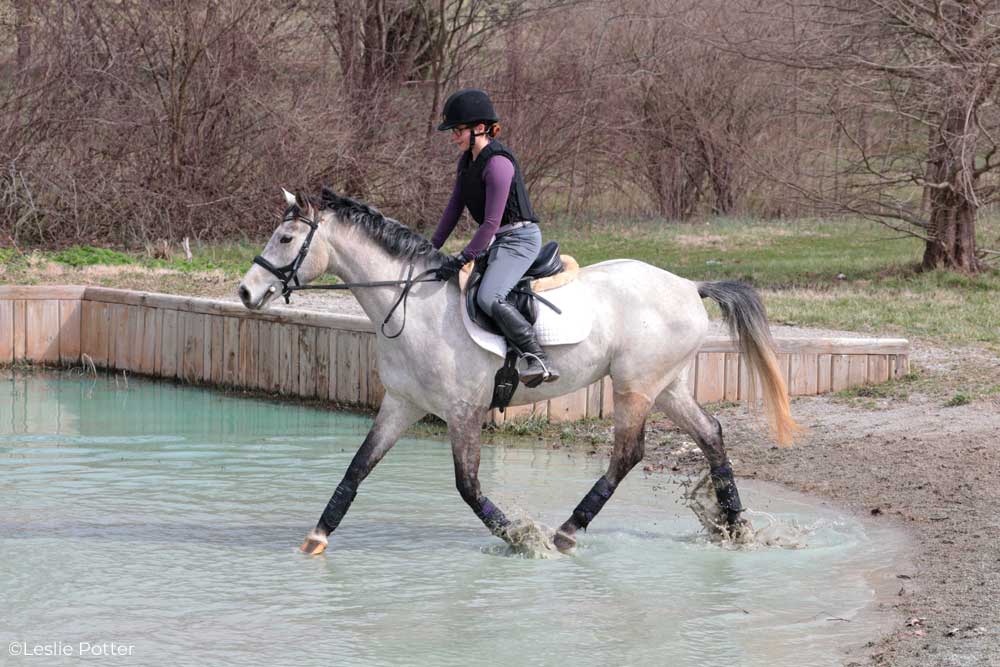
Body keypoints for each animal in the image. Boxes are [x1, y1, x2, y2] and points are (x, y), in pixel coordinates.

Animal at [238, 187, 792, 552]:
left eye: (285, 238)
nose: (245, 292)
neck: (410, 304)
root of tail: (688, 285)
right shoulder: (402, 404)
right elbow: (356, 468)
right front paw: (317, 536)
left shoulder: (463, 411)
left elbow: (468, 485)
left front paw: (519, 537)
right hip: (667, 385)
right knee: (711, 433)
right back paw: (737, 527)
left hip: (634, 386)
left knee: (628, 454)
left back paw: (567, 531)